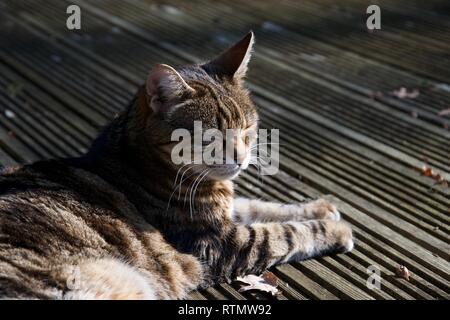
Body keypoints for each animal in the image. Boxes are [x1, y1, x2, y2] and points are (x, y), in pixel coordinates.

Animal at [0, 31, 352, 298]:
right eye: (210, 138)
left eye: (248, 129)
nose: (241, 158)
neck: (141, 164)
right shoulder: (222, 244)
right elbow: (285, 233)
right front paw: (336, 229)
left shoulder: (226, 212)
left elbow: (263, 206)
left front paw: (320, 207)